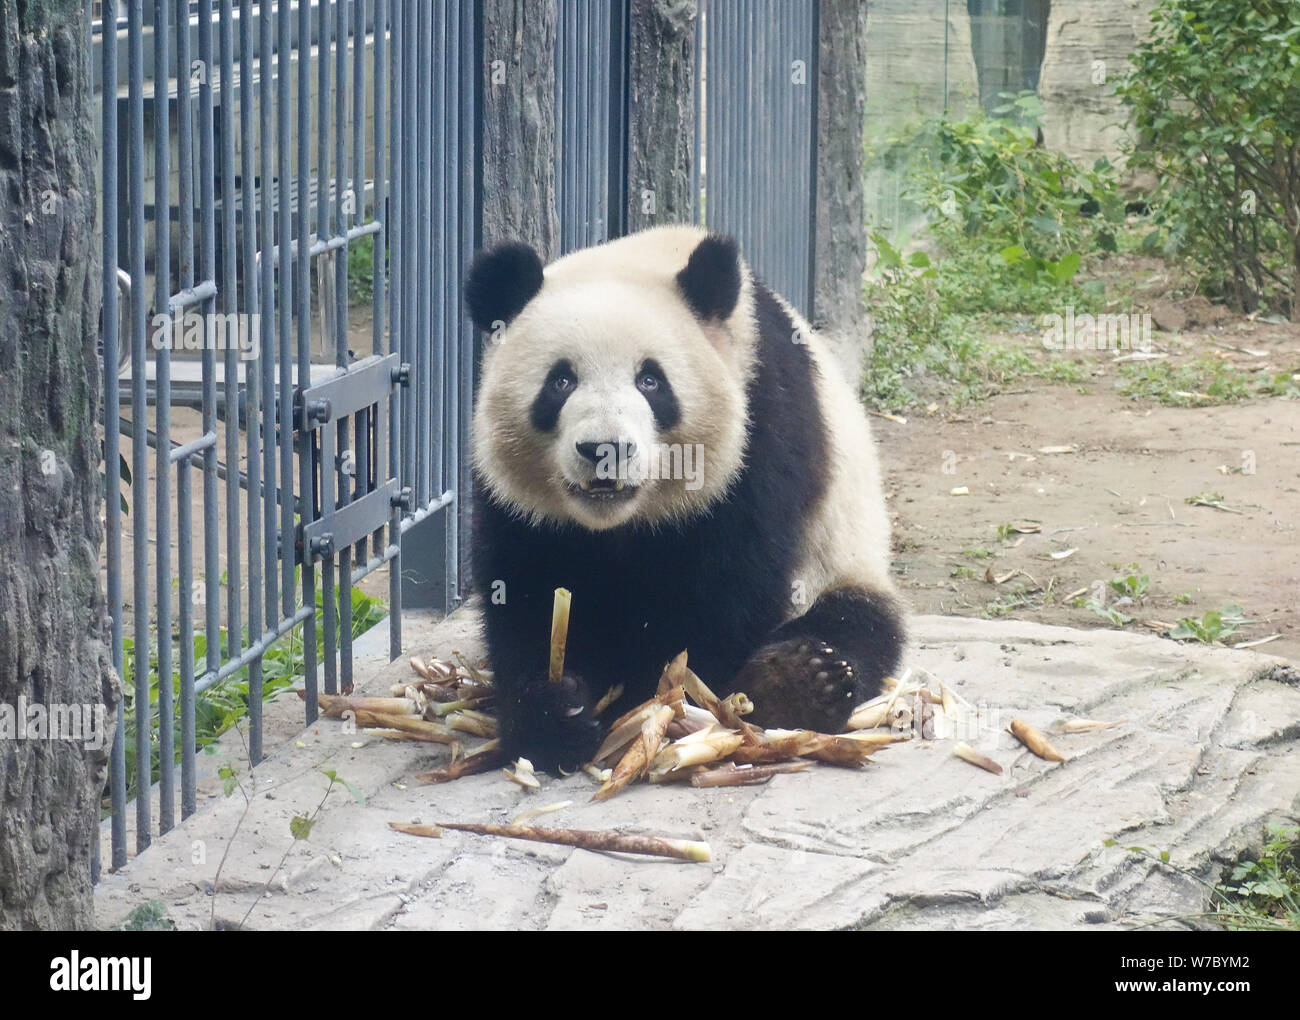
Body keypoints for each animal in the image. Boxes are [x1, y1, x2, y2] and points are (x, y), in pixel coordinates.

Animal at [464, 225, 905, 772]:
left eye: (651, 380)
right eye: (560, 381)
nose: (605, 449)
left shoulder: (760, 426)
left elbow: (728, 586)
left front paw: (656, 692)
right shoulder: (519, 502)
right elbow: (526, 589)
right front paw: (554, 712)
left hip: (843, 556)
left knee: (858, 622)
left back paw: (799, 680)